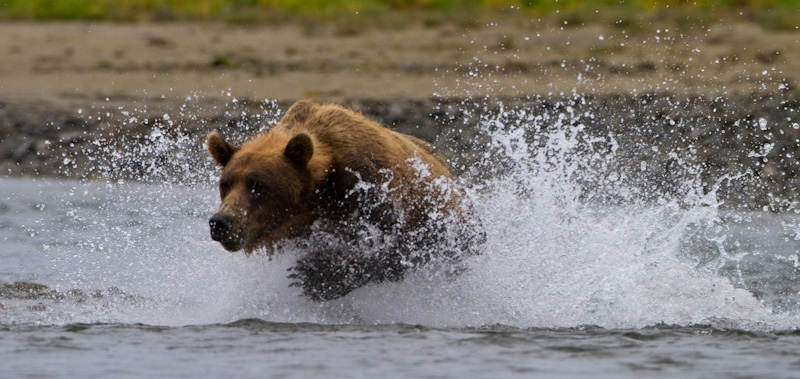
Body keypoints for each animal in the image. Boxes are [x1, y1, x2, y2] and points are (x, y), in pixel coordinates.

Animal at [206, 101, 482, 302]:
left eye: (257, 185)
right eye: (225, 183)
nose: (221, 222)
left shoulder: (368, 185)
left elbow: (402, 243)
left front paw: (317, 274)